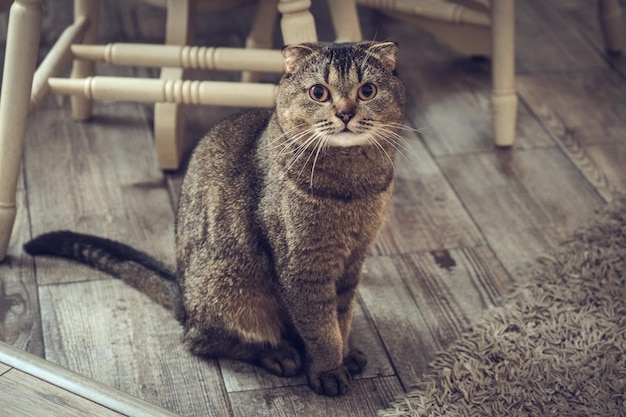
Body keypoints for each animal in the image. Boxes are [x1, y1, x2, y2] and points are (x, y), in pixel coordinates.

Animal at [23, 42, 404, 396]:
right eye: (319, 93)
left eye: (367, 91)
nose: (345, 113)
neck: (353, 186)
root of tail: (183, 297)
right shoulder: (303, 266)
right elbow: (320, 327)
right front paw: (327, 369)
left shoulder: (353, 259)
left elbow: (342, 314)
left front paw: (344, 350)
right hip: (232, 287)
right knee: (203, 340)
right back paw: (277, 353)